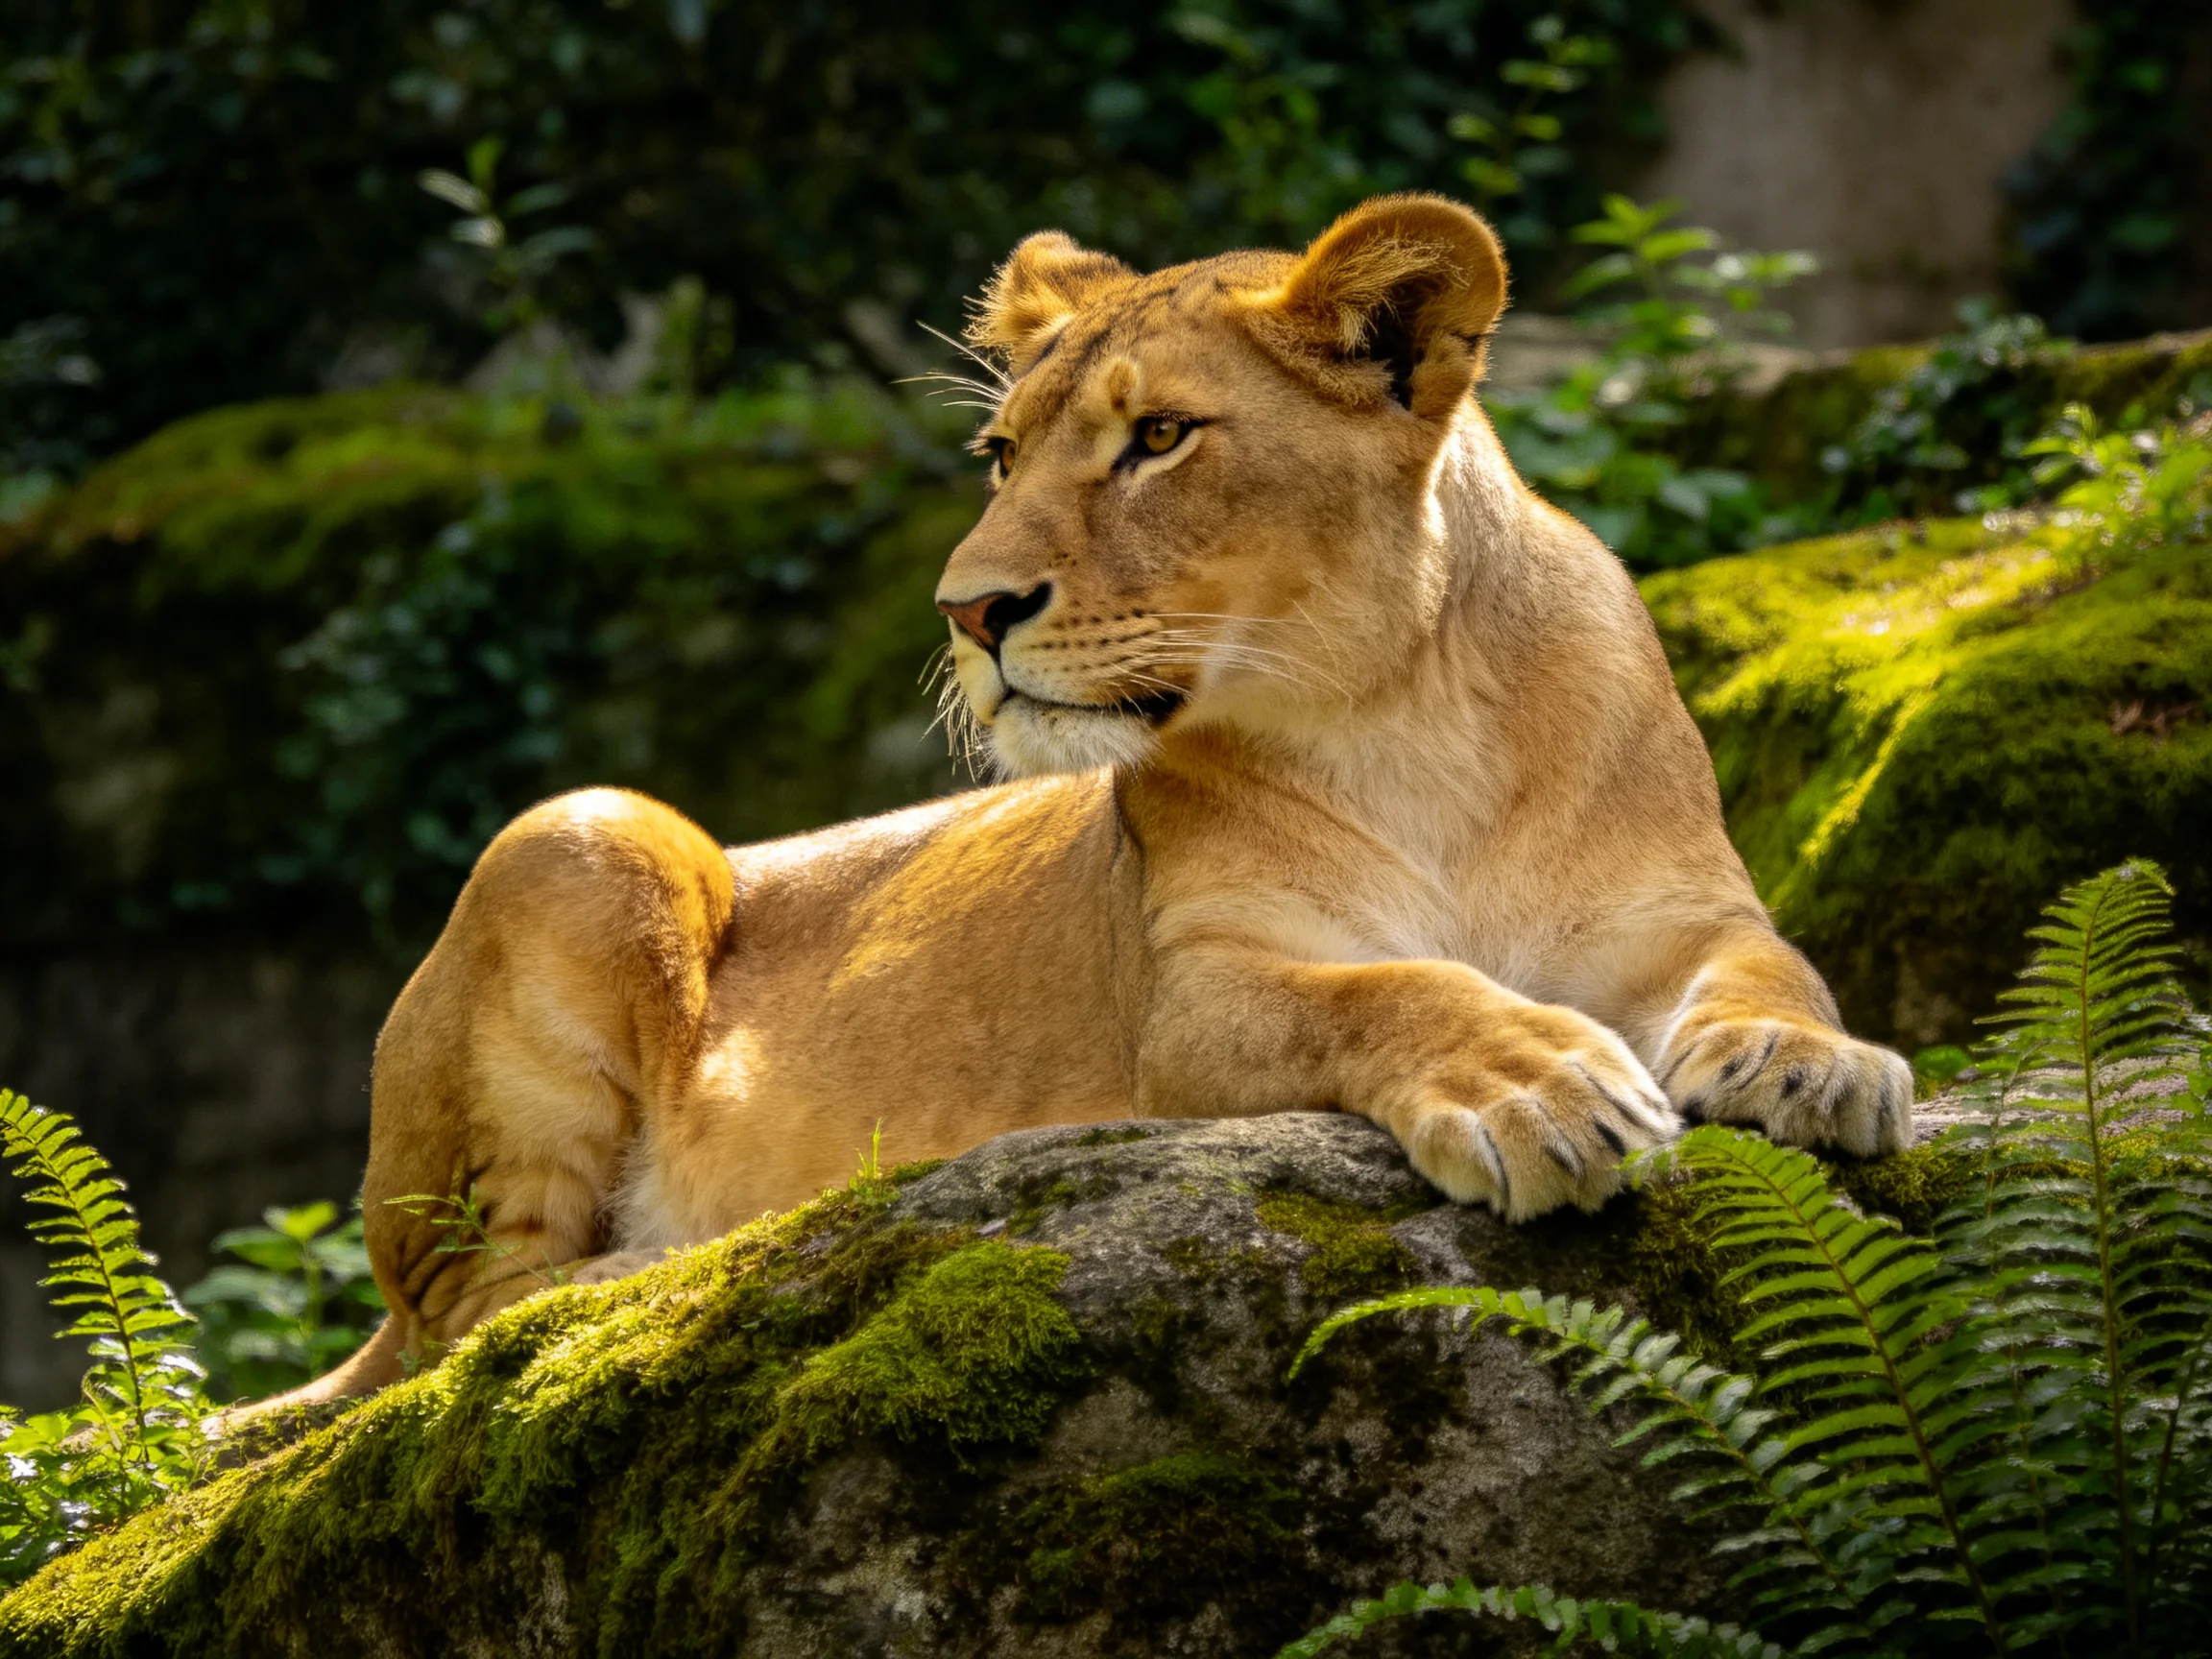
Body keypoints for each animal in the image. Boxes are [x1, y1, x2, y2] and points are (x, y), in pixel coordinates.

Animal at [300, 193, 1911, 1402]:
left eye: (1159, 439)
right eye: (1002, 454)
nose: (968, 610)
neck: (1408, 711)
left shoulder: (1680, 914)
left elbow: (1778, 968)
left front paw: (1808, 1067)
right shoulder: (1192, 1000)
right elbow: (1393, 990)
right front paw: (1543, 1088)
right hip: (584, 831)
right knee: (473, 1314)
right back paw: (698, 1253)